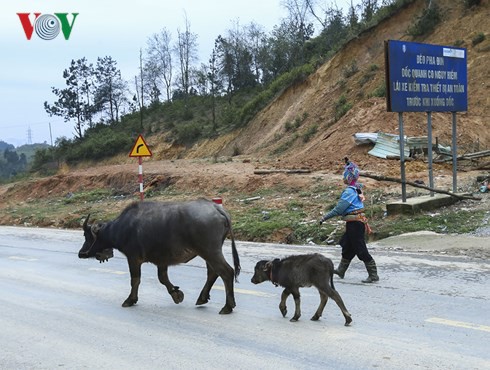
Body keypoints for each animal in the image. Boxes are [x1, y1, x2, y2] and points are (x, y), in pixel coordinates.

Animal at [78, 199, 241, 316]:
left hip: (210, 251)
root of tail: (217, 208)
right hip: (208, 252)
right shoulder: (162, 261)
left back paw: (228, 306)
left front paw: (130, 300)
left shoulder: (133, 258)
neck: (122, 228)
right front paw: (176, 294)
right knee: (213, 273)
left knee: (226, 272)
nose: (81, 253)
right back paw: (202, 298)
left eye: (86, 235)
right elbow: (162, 278)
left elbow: (135, 280)